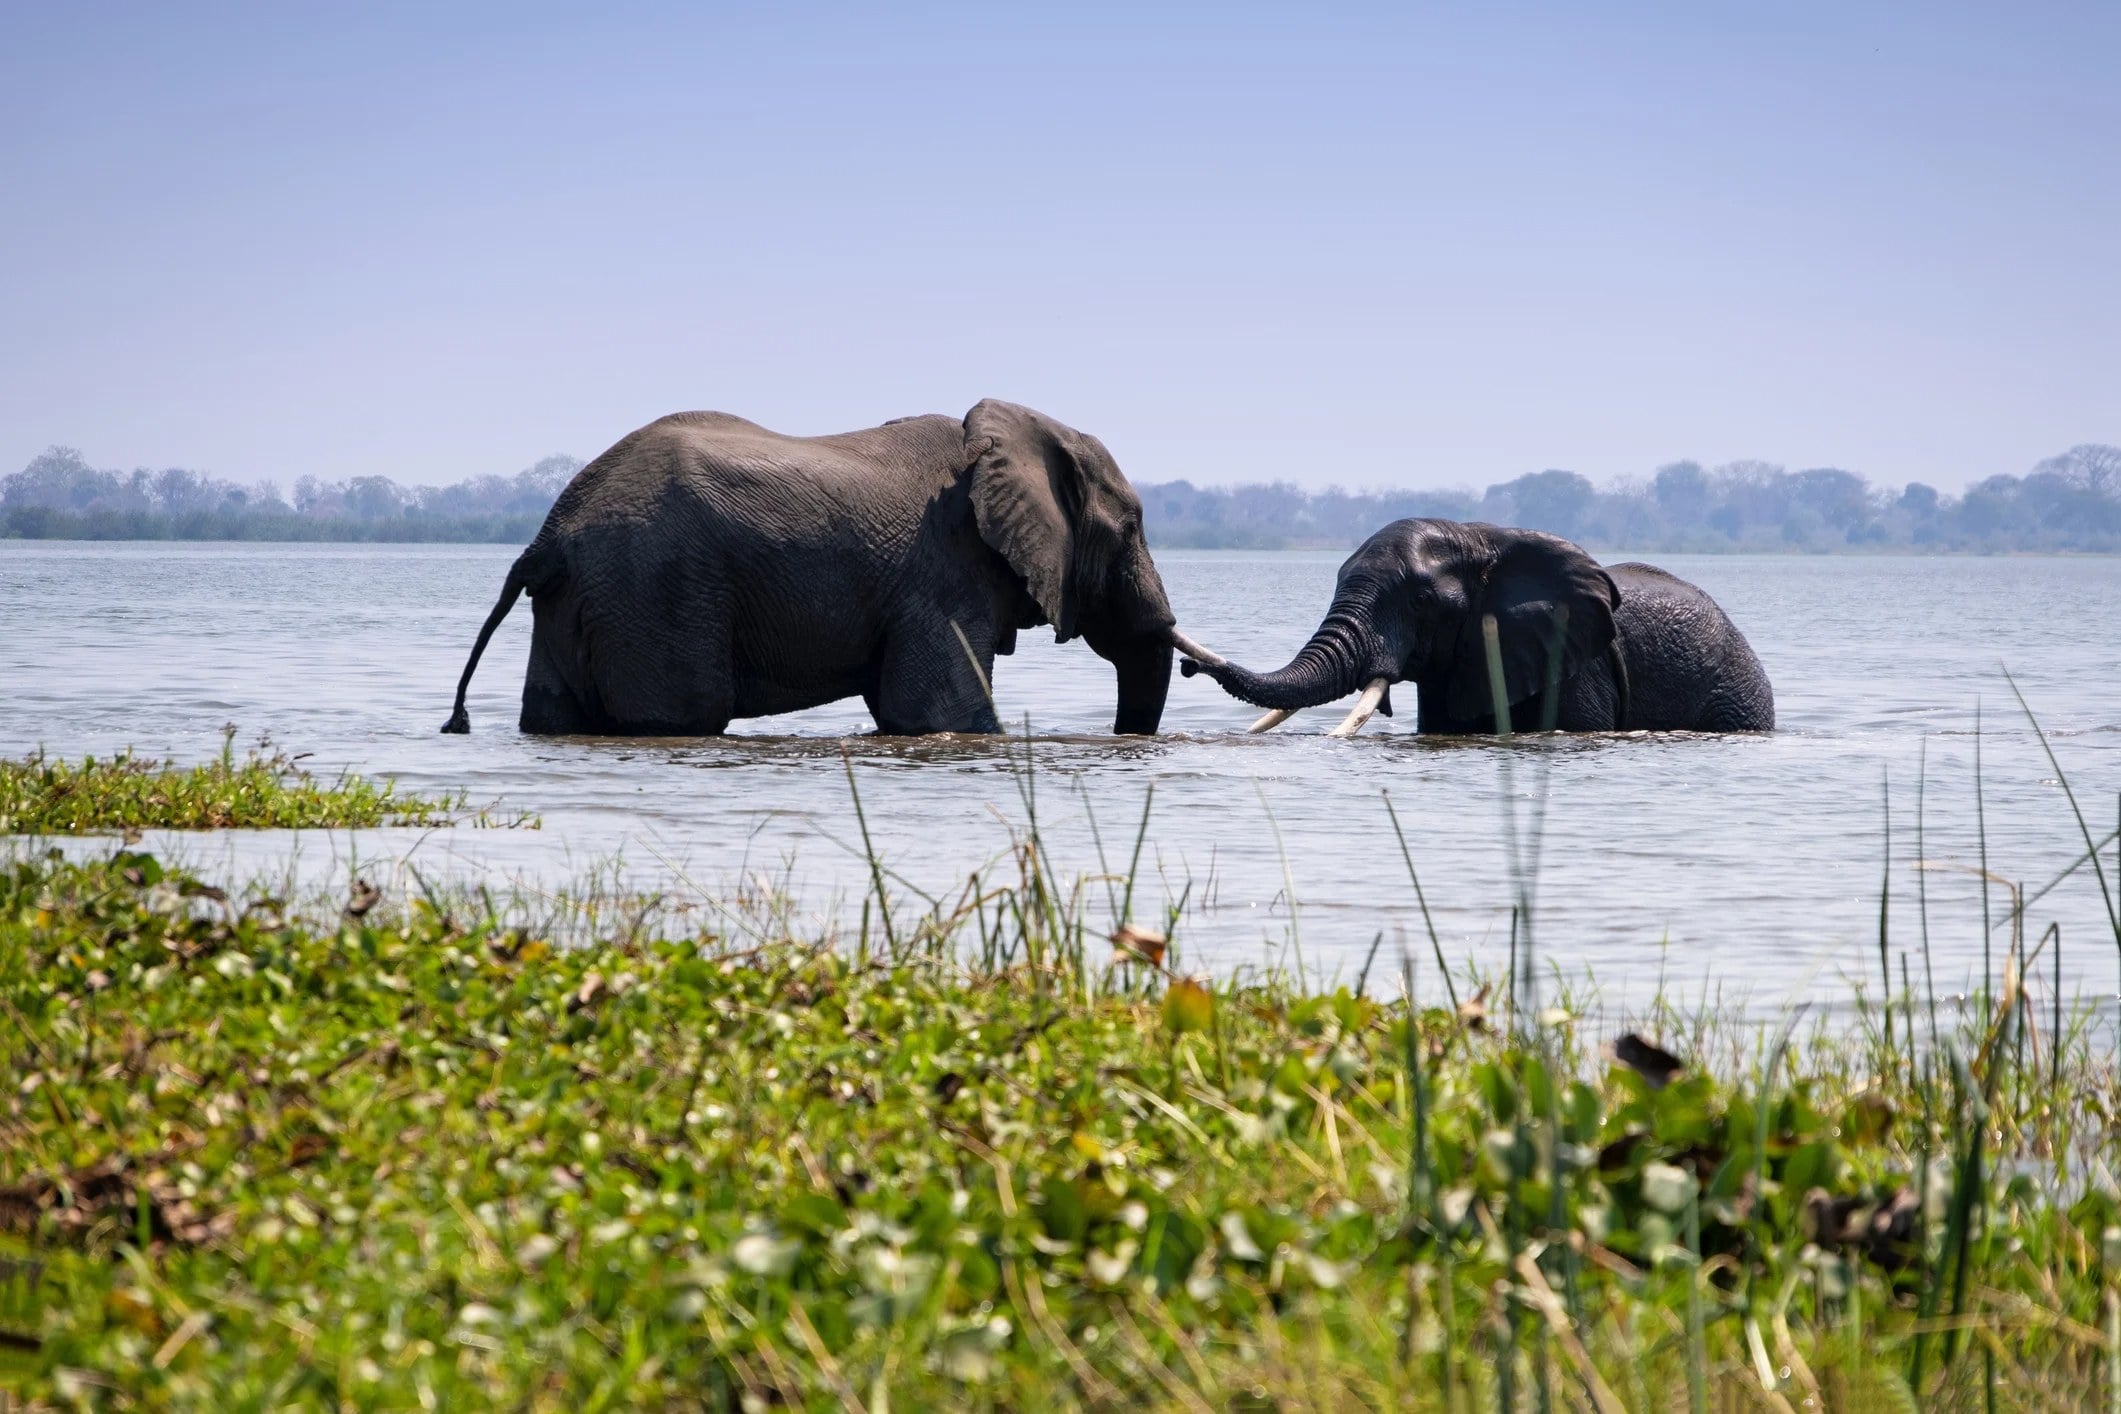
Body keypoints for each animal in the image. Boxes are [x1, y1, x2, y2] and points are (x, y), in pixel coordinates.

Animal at [441, 400, 1225, 736]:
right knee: (682, 714)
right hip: (653, 591)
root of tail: (550, 534)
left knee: (553, 714)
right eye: (1132, 527)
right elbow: (941, 715)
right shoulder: (943, 575)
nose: (1195, 667)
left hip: (588, 599)